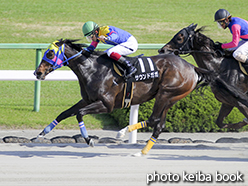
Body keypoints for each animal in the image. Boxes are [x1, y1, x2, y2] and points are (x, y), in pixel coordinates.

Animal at [34, 38, 217, 155]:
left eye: (50, 54)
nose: (37, 72)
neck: (92, 69)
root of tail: (192, 67)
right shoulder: (87, 100)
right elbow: (64, 113)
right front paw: (41, 135)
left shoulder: (107, 104)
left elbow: (79, 114)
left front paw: (88, 140)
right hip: (171, 99)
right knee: (159, 125)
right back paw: (141, 152)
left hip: (165, 94)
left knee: (154, 119)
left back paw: (122, 132)